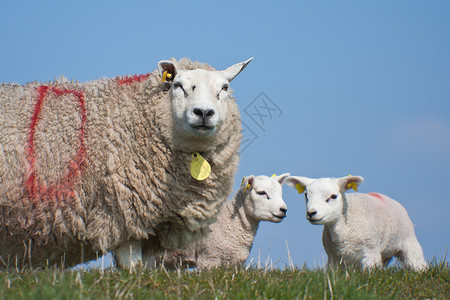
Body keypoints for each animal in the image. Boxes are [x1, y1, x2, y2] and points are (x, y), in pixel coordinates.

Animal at [0, 57, 253, 268]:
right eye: (177, 85)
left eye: (225, 88)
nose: (203, 112)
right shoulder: (121, 210)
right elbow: (131, 265)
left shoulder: (154, 228)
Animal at [284, 175, 428, 270]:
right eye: (306, 196)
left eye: (333, 196)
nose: (311, 213)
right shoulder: (333, 258)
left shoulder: (370, 253)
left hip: (408, 242)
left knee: (417, 262)